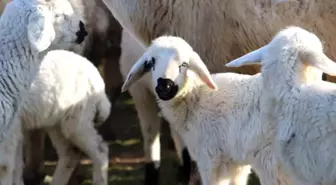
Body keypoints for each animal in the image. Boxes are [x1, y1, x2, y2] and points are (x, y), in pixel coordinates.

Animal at [121, 35, 294, 185]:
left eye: (184, 64)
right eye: (151, 63)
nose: (165, 86)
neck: (195, 96)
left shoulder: (210, 158)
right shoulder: (236, 164)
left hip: (273, 164)